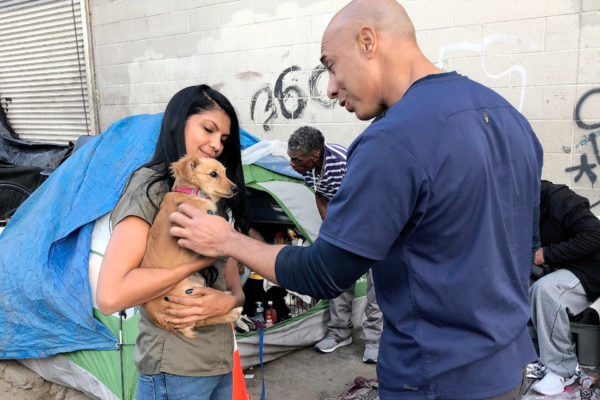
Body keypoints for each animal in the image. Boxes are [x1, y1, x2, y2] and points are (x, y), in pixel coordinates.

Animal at [141, 155, 244, 340]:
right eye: (213, 174)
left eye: (225, 172)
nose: (235, 189)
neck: (191, 193)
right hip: (187, 294)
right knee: (200, 317)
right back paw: (233, 312)